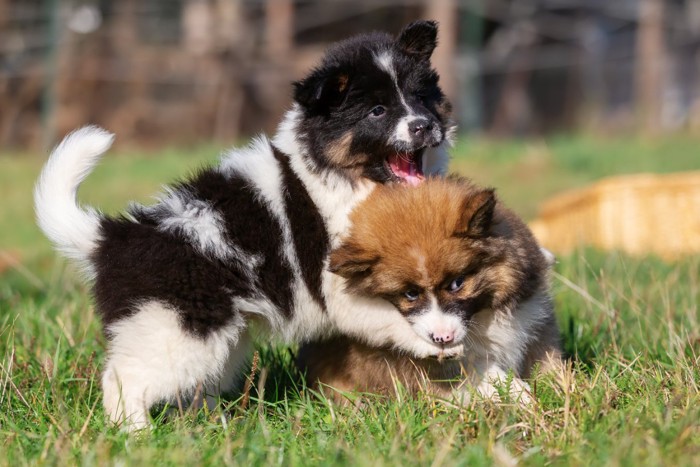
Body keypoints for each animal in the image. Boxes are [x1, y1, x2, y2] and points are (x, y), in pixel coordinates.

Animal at [35, 22, 456, 432]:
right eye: (377, 111)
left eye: (421, 99)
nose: (423, 126)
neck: (348, 180)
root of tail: (113, 237)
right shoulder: (337, 285)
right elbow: (388, 315)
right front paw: (434, 339)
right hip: (178, 329)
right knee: (125, 379)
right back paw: (134, 434)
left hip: (218, 337)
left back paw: (213, 425)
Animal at [298, 177, 560, 404]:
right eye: (410, 294)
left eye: (457, 283)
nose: (443, 338)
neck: (481, 318)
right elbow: (479, 371)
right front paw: (520, 396)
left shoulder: (534, 321)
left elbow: (548, 362)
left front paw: (555, 388)